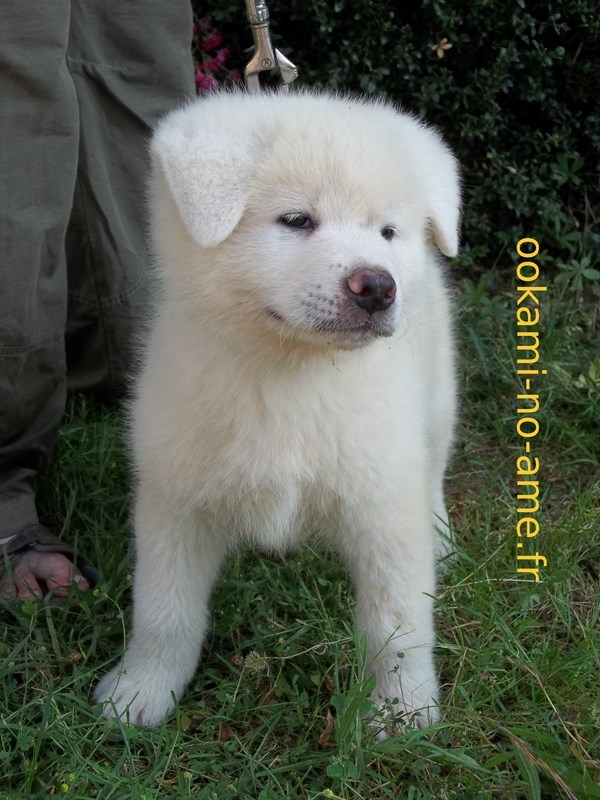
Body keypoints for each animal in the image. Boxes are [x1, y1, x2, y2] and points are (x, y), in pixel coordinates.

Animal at [94, 88, 460, 731]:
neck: (290, 376)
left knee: (434, 467)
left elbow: (397, 626)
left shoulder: (384, 505)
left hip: (439, 398)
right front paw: (141, 694)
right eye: (296, 220)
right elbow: (164, 613)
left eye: (388, 231)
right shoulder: (175, 501)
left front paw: (403, 712)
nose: (378, 286)